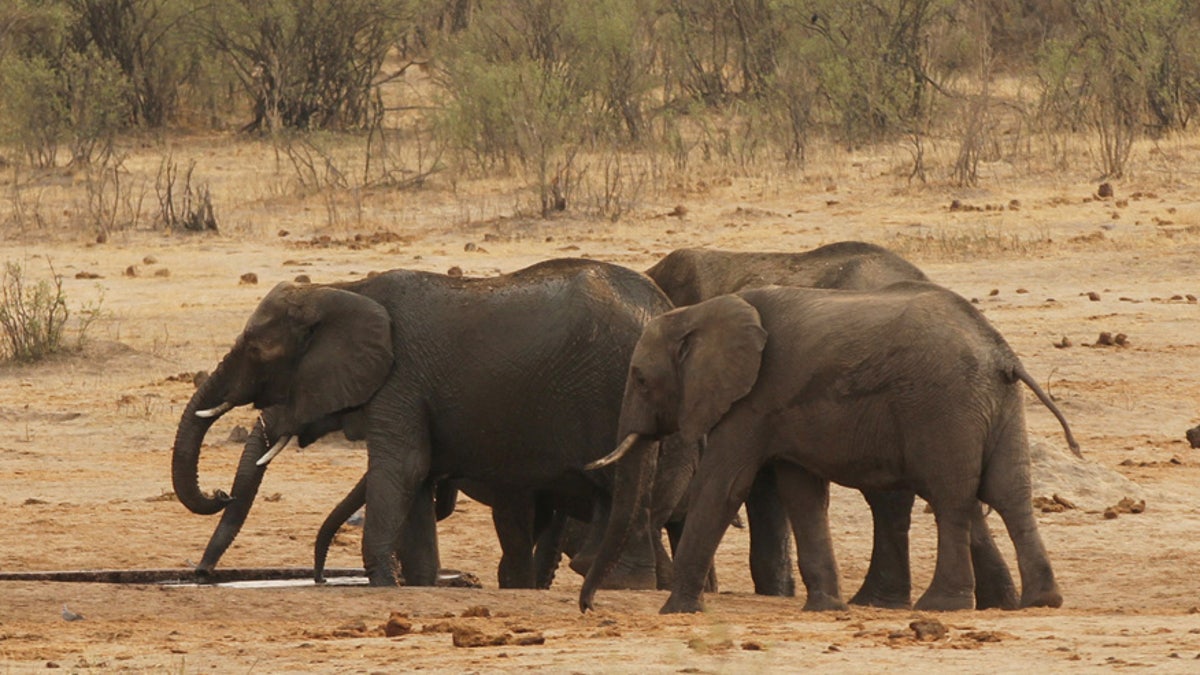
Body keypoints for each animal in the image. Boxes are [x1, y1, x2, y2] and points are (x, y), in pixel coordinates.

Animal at [169, 254, 676, 586]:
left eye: (256, 349)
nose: (219, 493)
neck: (345, 288)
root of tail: (662, 306)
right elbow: (417, 481)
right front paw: (416, 584)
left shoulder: (402, 380)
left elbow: (403, 469)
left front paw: (382, 583)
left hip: (613, 389)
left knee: (622, 486)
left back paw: (623, 585)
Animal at [580, 278, 1080, 610]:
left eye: (639, 379)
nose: (589, 607)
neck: (701, 312)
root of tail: (1002, 354)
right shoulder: (777, 413)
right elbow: (802, 496)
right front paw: (825, 608)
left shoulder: (752, 401)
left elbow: (723, 487)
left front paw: (676, 611)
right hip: (995, 405)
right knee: (1008, 494)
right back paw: (1040, 601)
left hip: (944, 405)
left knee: (952, 498)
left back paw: (941, 606)